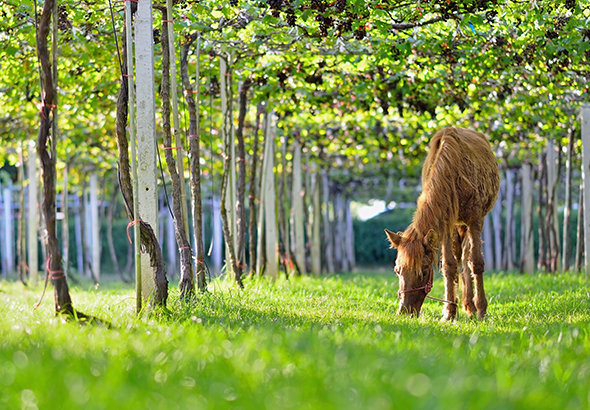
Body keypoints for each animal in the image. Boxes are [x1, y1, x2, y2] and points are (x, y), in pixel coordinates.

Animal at [388, 126, 500, 318]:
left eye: (424, 271)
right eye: (397, 270)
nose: (405, 311)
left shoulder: (475, 219)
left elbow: (476, 262)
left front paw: (481, 310)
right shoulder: (445, 223)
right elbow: (449, 265)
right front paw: (449, 312)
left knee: (467, 256)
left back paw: (472, 306)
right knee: (460, 256)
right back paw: (465, 304)